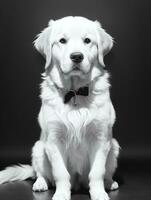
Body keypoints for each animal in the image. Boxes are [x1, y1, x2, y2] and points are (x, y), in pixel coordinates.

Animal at [0, 16, 120, 200]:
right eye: (62, 41)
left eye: (87, 41)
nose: (77, 56)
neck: (75, 92)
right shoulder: (53, 140)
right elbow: (61, 173)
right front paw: (61, 194)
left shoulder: (101, 139)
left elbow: (97, 172)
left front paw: (99, 193)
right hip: (38, 148)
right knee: (41, 174)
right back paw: (40, 184)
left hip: (113, 147)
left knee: (105, 173)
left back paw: (109, 183)